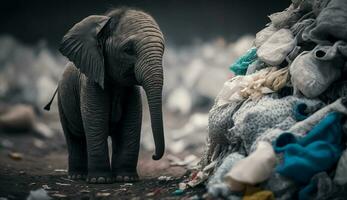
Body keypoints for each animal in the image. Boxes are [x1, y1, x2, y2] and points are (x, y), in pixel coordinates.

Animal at [54, 7, 167, 183]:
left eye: (163, 51)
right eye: (128, 50)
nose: (154, 156)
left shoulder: (131, 92)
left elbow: (129, 126)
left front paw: (126, 178)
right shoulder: (90, 85)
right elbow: (96, 123)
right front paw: (100, 180)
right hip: (62, 98)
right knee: (74, 136)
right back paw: (77, 176)